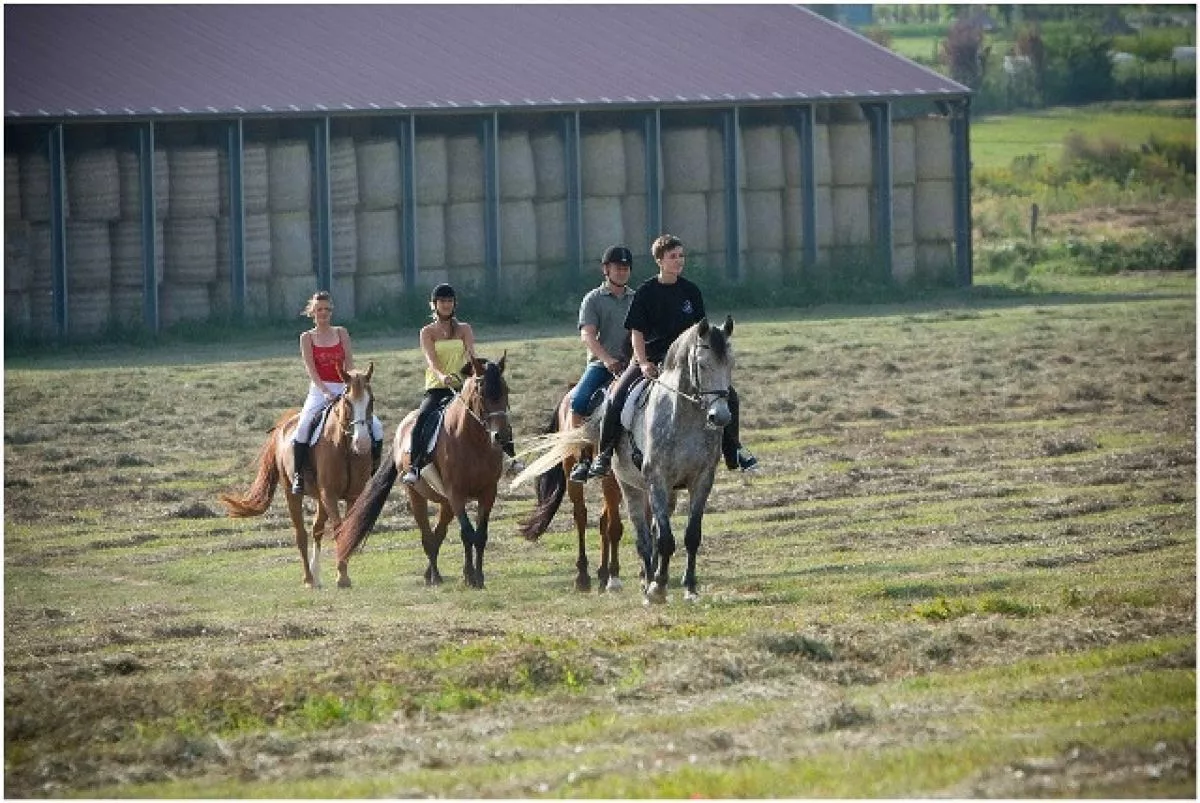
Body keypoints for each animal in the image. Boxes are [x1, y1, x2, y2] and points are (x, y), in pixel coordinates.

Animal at [219, 360, 374, 585]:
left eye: (372, 401)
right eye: (348, 402)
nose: (362, 443)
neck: (344, 446)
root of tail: (283, 425)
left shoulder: (351, 496)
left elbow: (347, 529)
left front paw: (342, 574)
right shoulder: (330, 494)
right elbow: (338, 530)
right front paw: (342, 577)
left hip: (319, 497)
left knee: (317, 529)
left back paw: (316, 575)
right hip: (292, 492)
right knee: (301, 534)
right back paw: (309, 579)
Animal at [336, 357, 513, 588]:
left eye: (506, 390)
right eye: (482, 393)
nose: (502, 436)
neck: (473, 441)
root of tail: (402, 429)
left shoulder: (488, 492)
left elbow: (480, 535)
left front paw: (477, 577)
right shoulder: (456, 493)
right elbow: (467, 533)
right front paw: (471, 578)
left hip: (446, 502)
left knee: (438, 534)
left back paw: (432, 574)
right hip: (417, 495)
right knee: (428, 537)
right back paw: (435, 577)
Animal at [518, 384, 628, 592]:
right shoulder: (611, 478)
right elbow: (614, 527)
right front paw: (615, 578)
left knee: (602, 520)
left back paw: (602, 574)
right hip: (572, 471)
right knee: (581, 517)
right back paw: (583, 577)